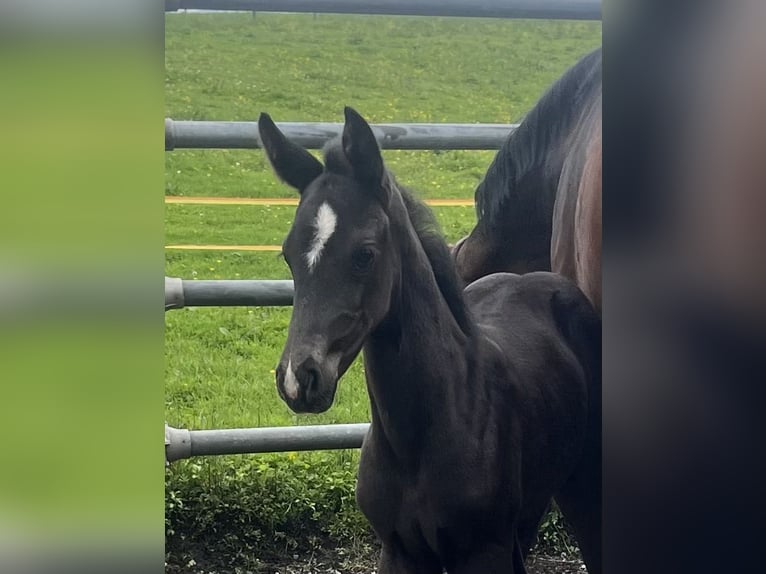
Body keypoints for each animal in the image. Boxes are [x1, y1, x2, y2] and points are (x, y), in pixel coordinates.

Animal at [260, 106, 608, 572]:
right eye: (288, 254)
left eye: (365, 253)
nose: (298, 378)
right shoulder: (399, 549)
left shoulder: (482, 551)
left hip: (581, 490)